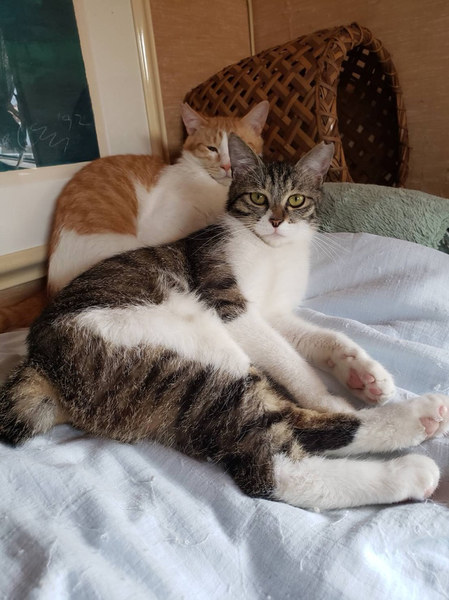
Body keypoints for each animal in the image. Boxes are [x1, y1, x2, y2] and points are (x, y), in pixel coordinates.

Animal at [1, 135, 447, 511]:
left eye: (296, 200)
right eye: (258, 197)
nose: (276, 220)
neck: (272, 253)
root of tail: (38, 363)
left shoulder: (275, 313)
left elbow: (321, 338)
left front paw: (365, 374)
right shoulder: (231, 305)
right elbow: (289, 360)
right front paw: (329, 396)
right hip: (185, 355)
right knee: (269, 462)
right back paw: (412, 448)